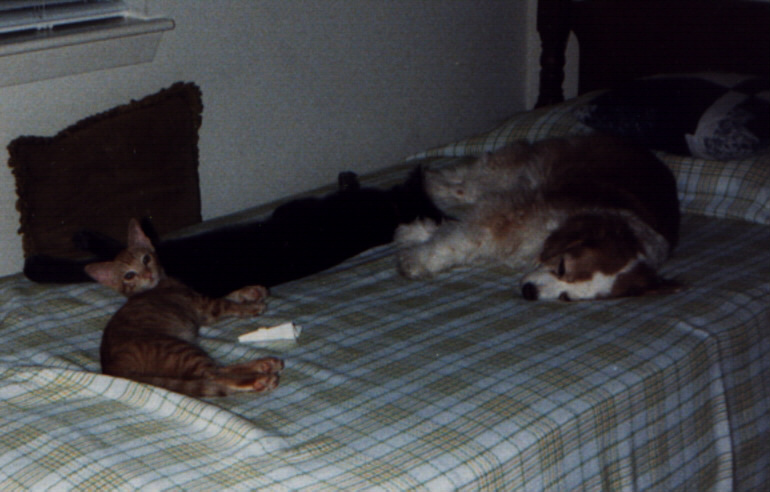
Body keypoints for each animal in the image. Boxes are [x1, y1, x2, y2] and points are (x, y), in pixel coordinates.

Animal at [85, 219, 282, 396]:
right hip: (180, 350)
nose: (147, 274)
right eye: (129, 275)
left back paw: (264, 365)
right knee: (213, 374)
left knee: (218, 369)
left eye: (146, 259)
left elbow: (228, 296)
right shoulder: (205, 305)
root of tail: (111, 370)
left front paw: (251, 291)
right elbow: (227, 303)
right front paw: (252, 306)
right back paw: (259, 378)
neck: (157, 285)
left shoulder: (200, 304)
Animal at [396, 134, 680, 300]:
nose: (530, 293)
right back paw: (428, 181)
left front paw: (417, 234)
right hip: (507, 174)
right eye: (562, 267)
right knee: (461, 182)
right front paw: (417, 260)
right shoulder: (508, 213)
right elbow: (459, 241)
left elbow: (456, 233)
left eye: (567, 298)